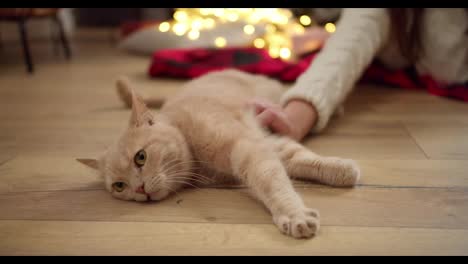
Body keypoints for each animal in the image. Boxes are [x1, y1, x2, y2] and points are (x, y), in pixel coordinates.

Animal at [78, 69, 360, 238]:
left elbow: (274, 183)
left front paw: (295, 214)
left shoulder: (248, 148)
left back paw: (336, 108)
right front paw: (341, 170)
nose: (138, 190)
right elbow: (299, 158)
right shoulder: (265, 142)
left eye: (141, 157)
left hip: (276, 94)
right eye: (119, 186)